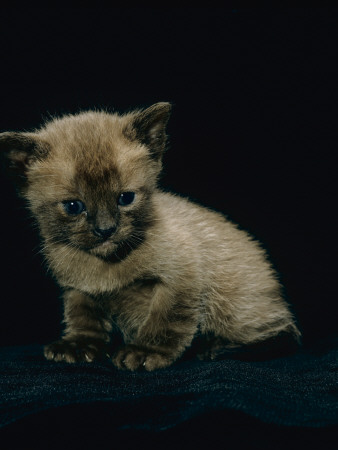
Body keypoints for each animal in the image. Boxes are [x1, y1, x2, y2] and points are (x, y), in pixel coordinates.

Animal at [0, 103, 302, 370]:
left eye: (126, 198)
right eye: (74, 206)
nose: (105, 229)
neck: (105, 267)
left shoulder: (181, 280)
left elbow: (164, 320)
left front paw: (145, 352)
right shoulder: (78, 289)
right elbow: (84, 319)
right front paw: (78, 345)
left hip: (234, 306)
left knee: (285, 333)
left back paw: (214, 348)